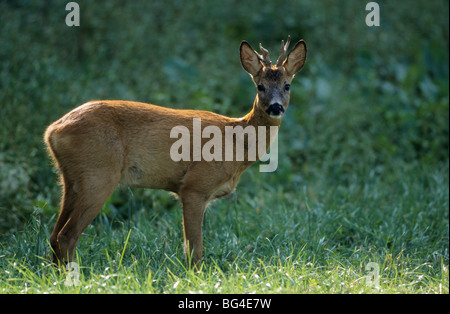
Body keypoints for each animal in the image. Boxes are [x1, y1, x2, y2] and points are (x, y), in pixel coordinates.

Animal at [44, 36, 306, 268]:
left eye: (287, 85)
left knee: (54, 236)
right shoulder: (194, 186)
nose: (275, 107)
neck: (236, 143)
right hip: (98, 175)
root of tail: (52, 131)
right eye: (260, 86)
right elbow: (194, 250)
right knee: (67, 236)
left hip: (71, 179)